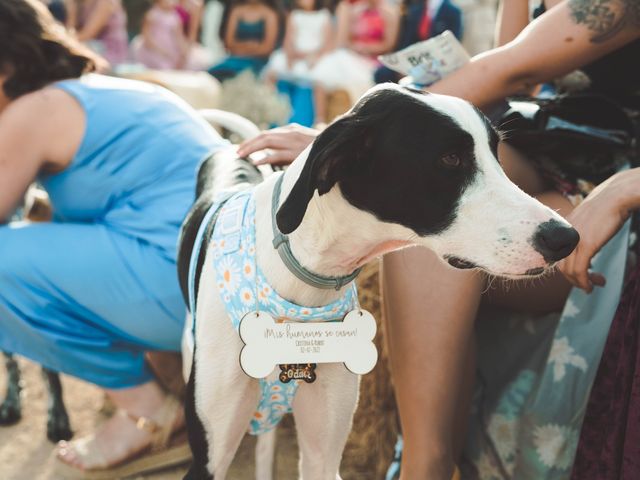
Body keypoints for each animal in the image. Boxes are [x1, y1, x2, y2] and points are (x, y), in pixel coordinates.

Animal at [176, 84, 580, 478]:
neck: (298, 288)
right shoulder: (207, 460)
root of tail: (231, 149)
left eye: (497, 153)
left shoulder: (324, 457)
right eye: (451, 159)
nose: (566, 238)